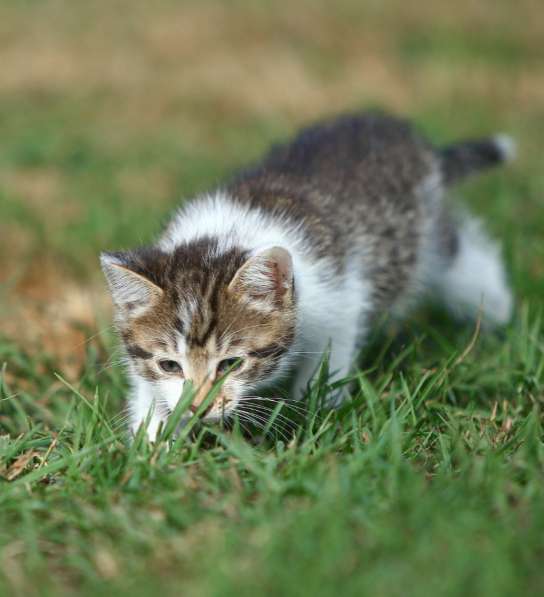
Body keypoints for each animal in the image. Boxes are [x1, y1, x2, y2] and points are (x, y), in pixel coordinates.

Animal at [102, 112, 516, 440]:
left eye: (231, 364)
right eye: (169, 365)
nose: (199, 408)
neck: (225, 235)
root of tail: (414, 140)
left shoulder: (340, 296)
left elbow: (330, 358)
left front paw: (314, 412)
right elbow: (149, 392)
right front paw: (151, 446)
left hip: (426, 242)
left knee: (463, 260)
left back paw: (497, 317)